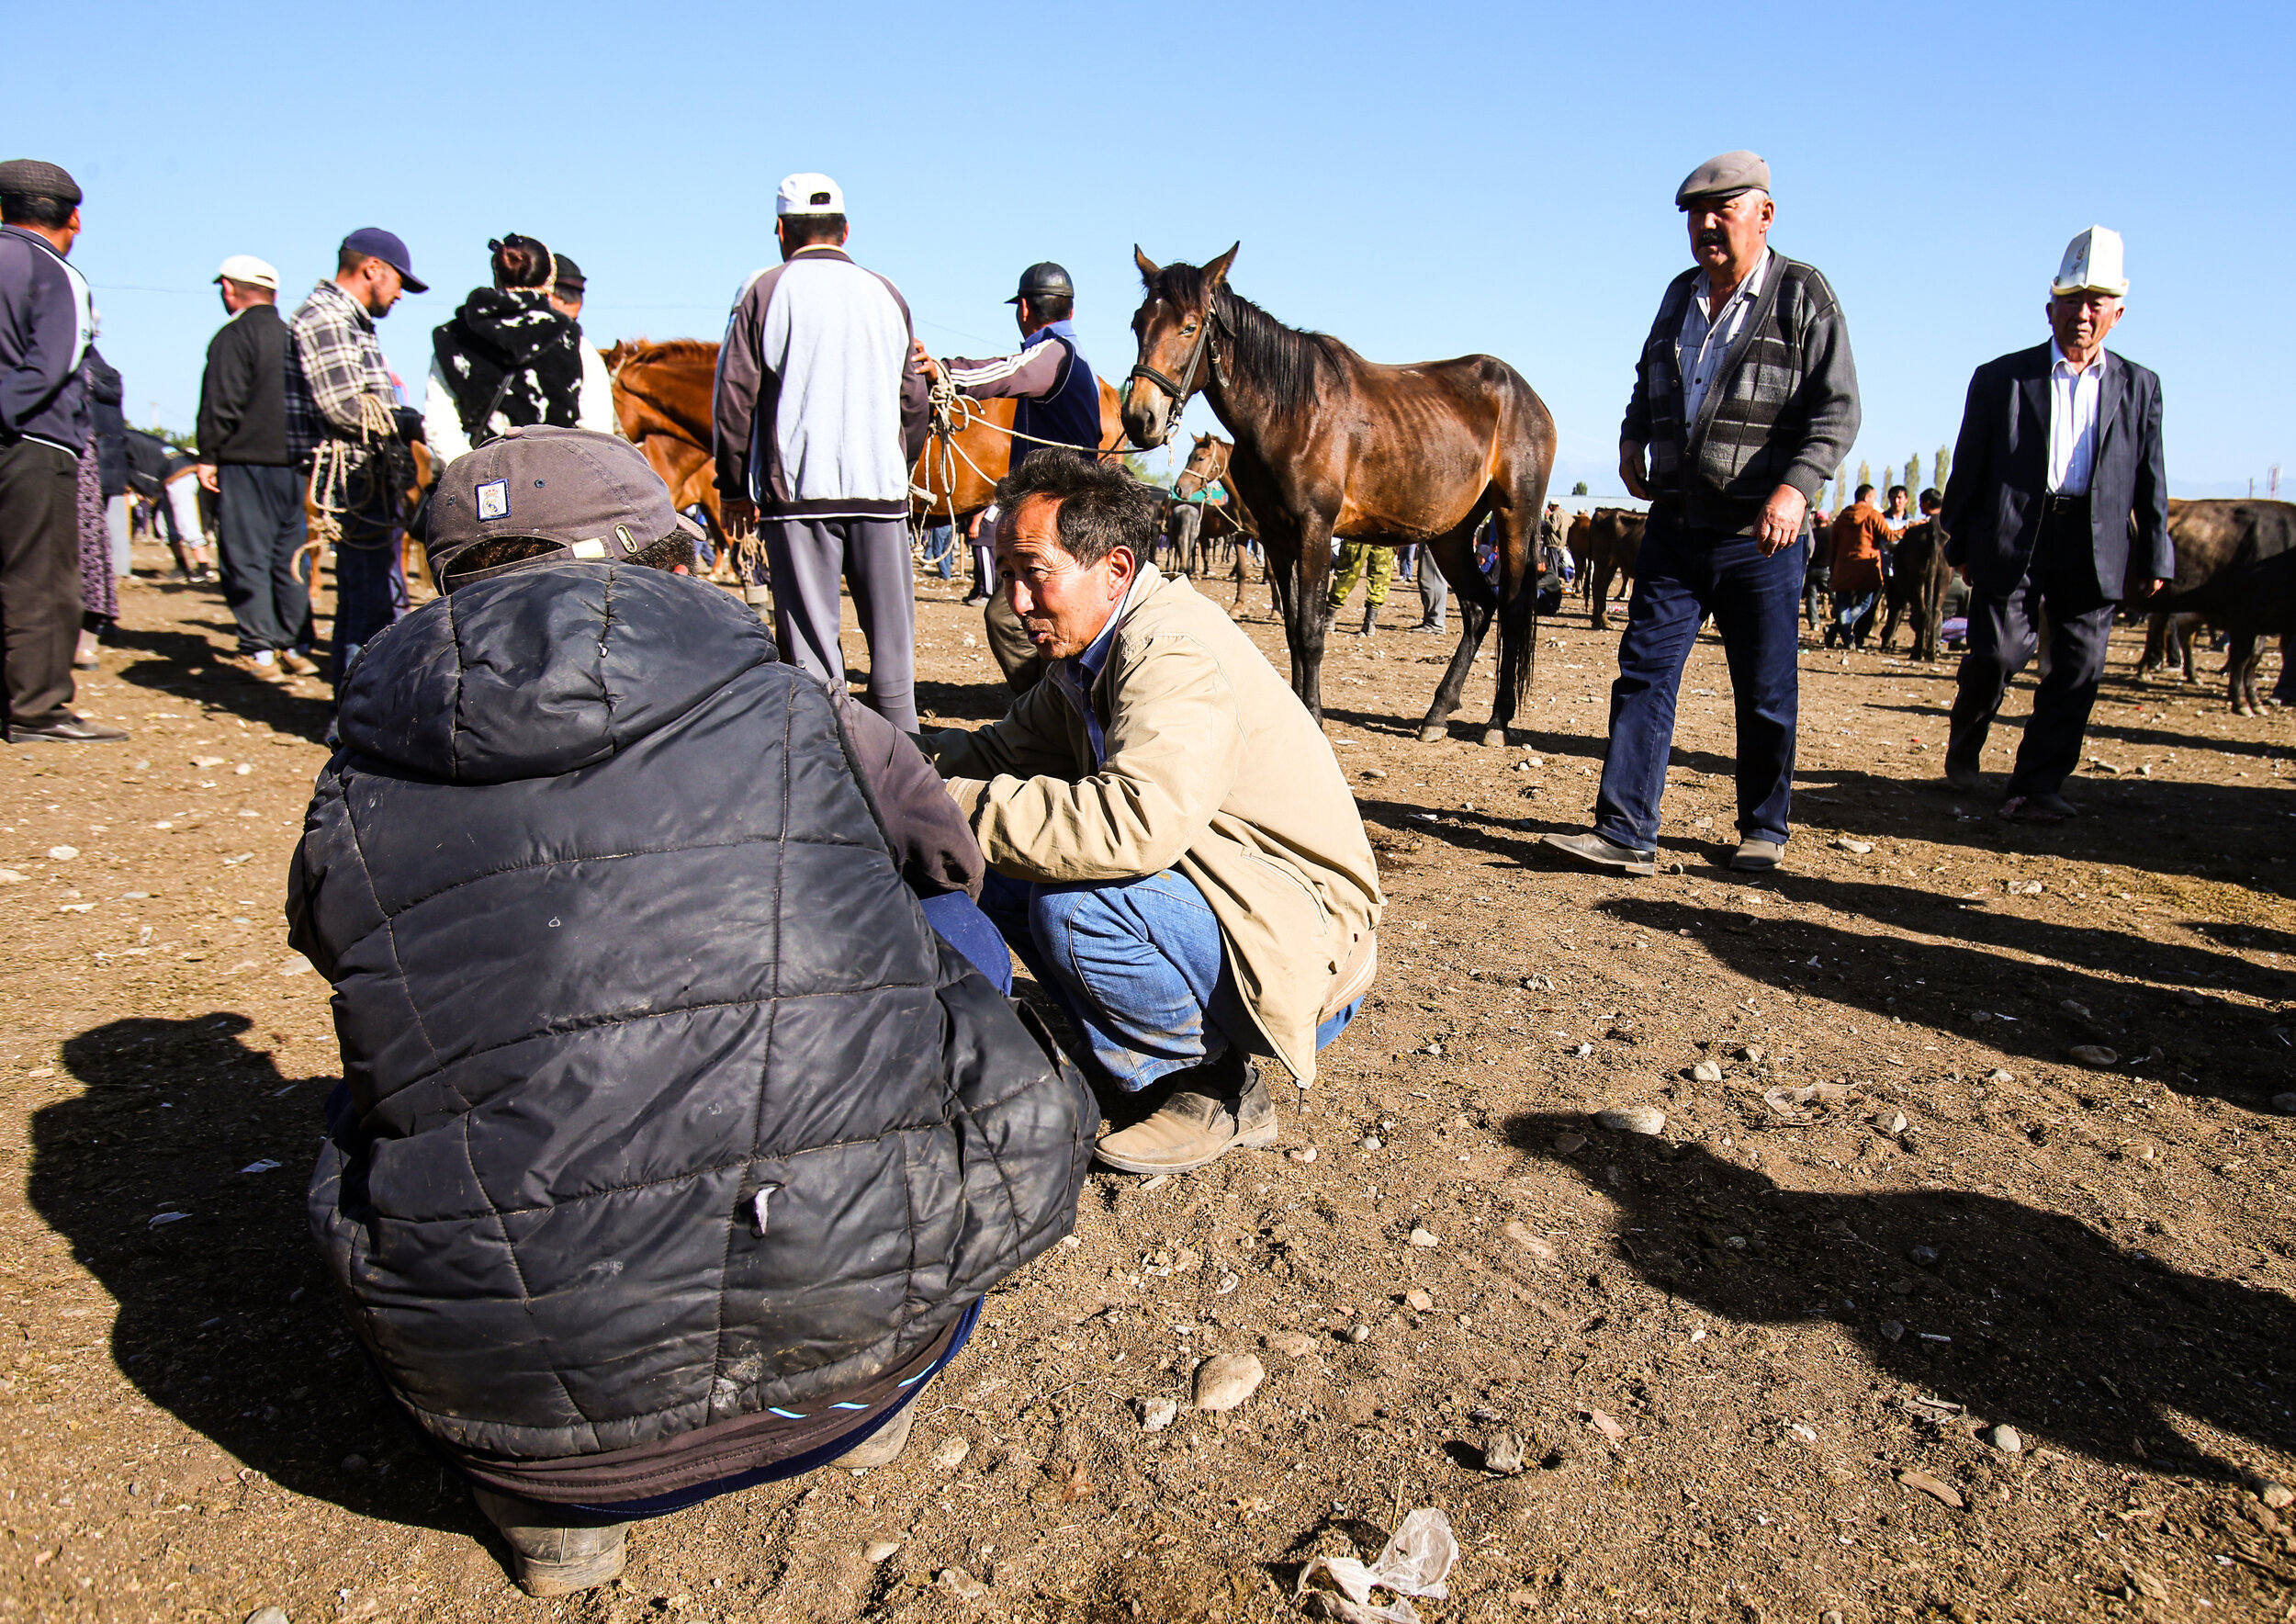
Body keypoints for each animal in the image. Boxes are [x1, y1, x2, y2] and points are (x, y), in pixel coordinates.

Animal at [1116, 244, 1552, 744]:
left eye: (1189, 325)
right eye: (1138, 323)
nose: (1140, 418)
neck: (1289, 411)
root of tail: (1527, 396)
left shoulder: (1315, 531)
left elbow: (1310, 631)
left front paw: (1313, 714)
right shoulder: (1276, 538)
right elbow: (1291, 629)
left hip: (1514, 517)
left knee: (1512, 610)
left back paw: (1497, 722)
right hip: (1451, 534)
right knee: (1480, 609)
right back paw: (1437, 715)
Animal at [2149, 501, 2296, 712]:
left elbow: (2254, 657)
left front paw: (2254, 700)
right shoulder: (2246, 617)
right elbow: (2242, 657)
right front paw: (2241, 700)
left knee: (2180, 636)